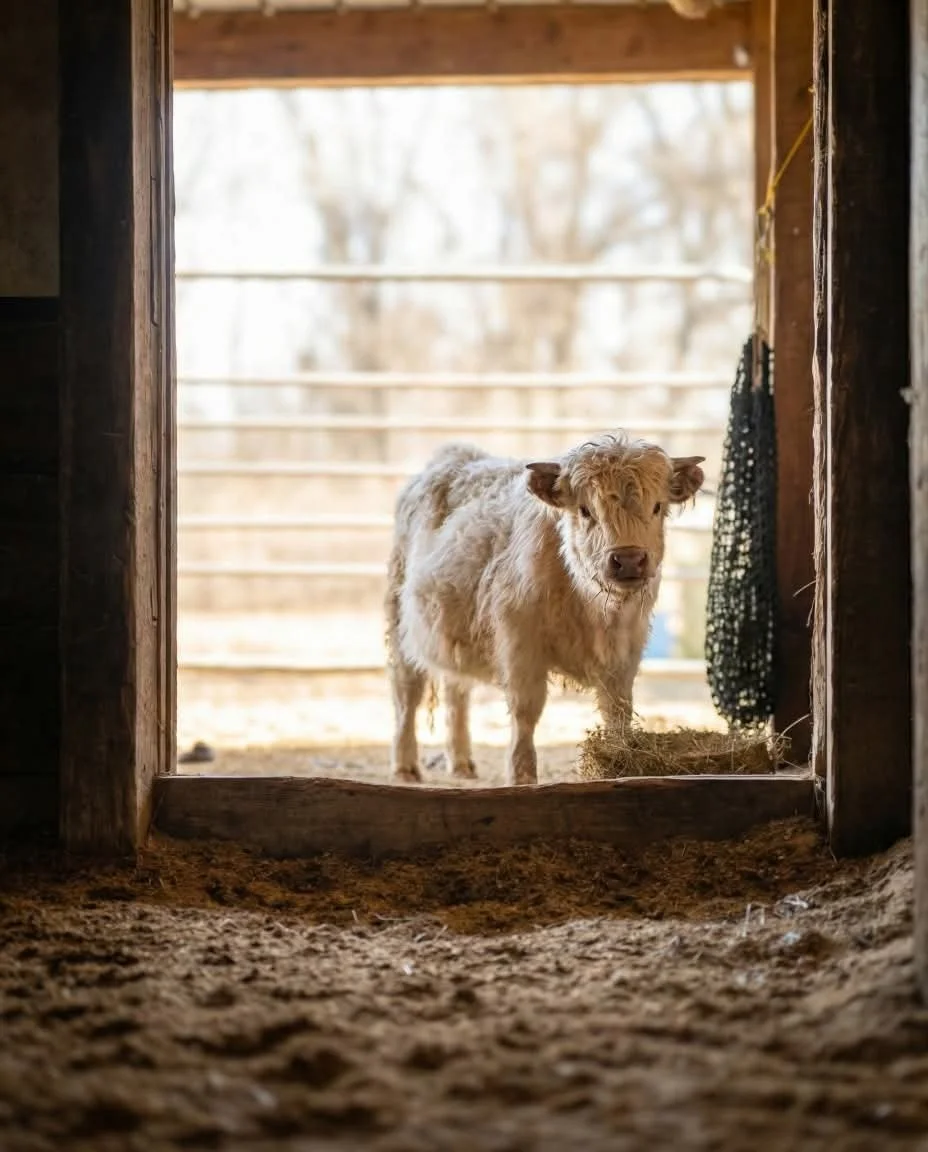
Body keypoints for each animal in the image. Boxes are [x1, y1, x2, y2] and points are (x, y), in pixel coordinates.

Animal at [384, 433, 705, 786]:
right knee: (406, 693)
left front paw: (618, 758)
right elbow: (526, 710)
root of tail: (453, 456)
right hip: (400, 624)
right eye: (585, 510)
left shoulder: (626, 650)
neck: (592, 608)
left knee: (456, 690)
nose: (629, 560)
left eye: (657, 507)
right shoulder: (520, 643)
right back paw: (405, 767)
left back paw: (462, 763)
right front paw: (522, 774)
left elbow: (618, 710)